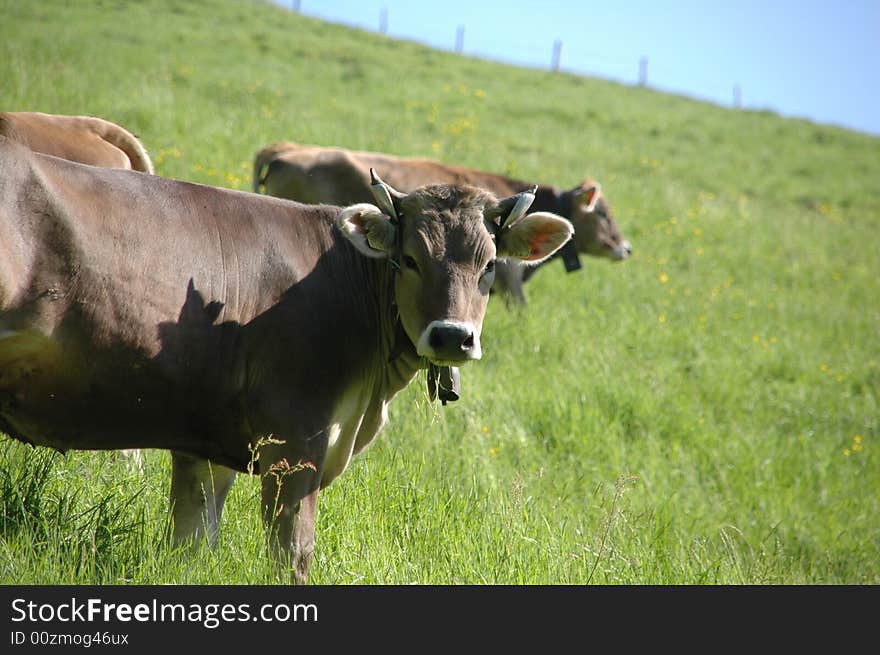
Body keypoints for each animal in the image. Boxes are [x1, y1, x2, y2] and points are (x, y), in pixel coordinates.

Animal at [0, 138, 576, 584]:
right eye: (410, 258)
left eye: (489, 265)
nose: (453, 336)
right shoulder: (295, 442)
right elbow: (292, 556)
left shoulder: (206, 443)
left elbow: (192, 542)